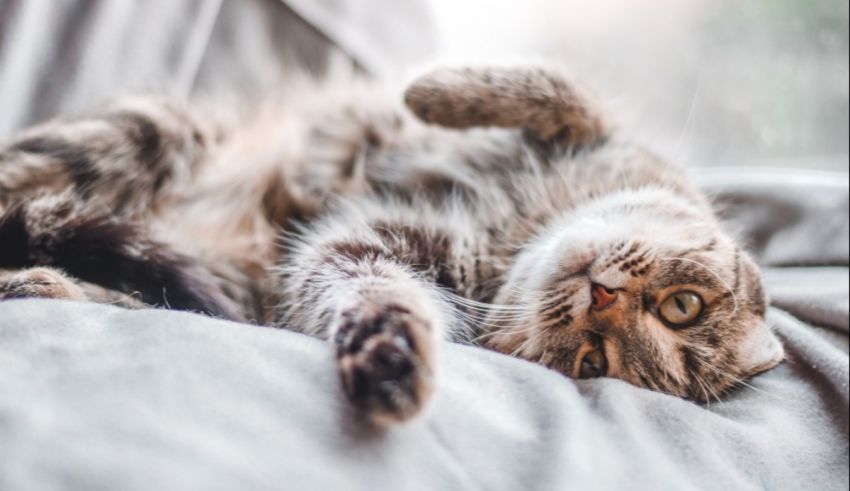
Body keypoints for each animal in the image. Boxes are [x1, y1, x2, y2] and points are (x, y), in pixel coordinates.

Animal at [0, 66, 780, 426]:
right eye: (683, 305)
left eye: (594, 361)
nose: (604, 293)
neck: (520, 230)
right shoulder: (601, 131)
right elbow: (551, 88)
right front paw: (427, 91)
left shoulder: (357, 244)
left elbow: (374, 289)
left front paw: (391, 354)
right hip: (147, 130)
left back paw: (41, 282)